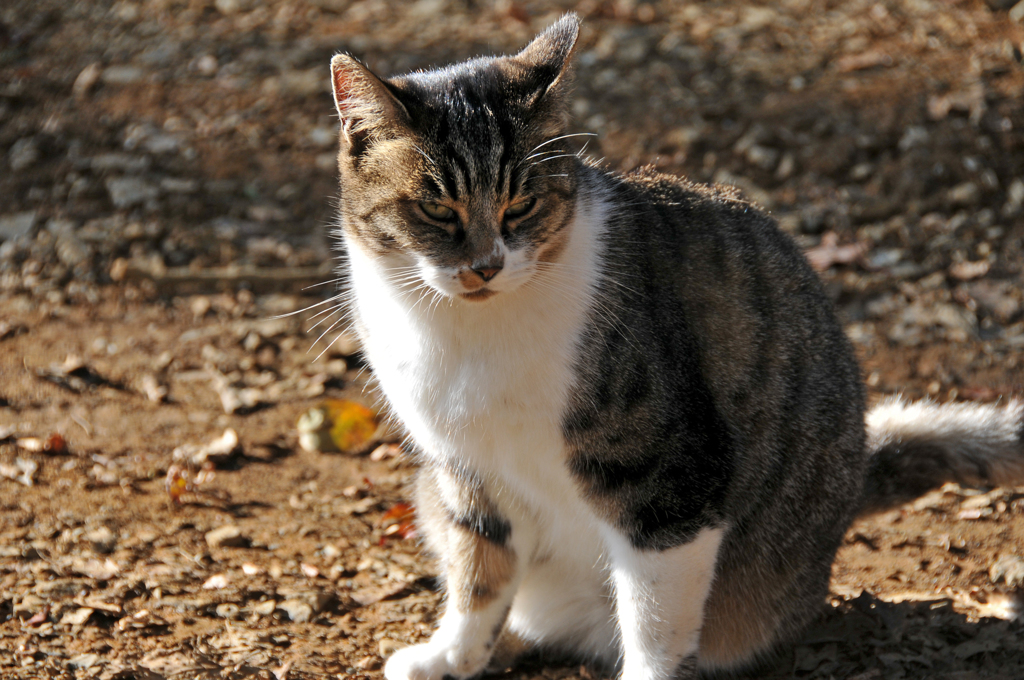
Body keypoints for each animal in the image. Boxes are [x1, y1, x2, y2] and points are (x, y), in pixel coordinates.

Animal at [325, 14, 1024, 680]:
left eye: (520, 204)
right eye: (437, 210)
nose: (485, 267)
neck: (472, 335)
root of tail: (854, 485)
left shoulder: (668, 482)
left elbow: (655, 622)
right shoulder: (467, 472)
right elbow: (479, 576)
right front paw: (453, 656)